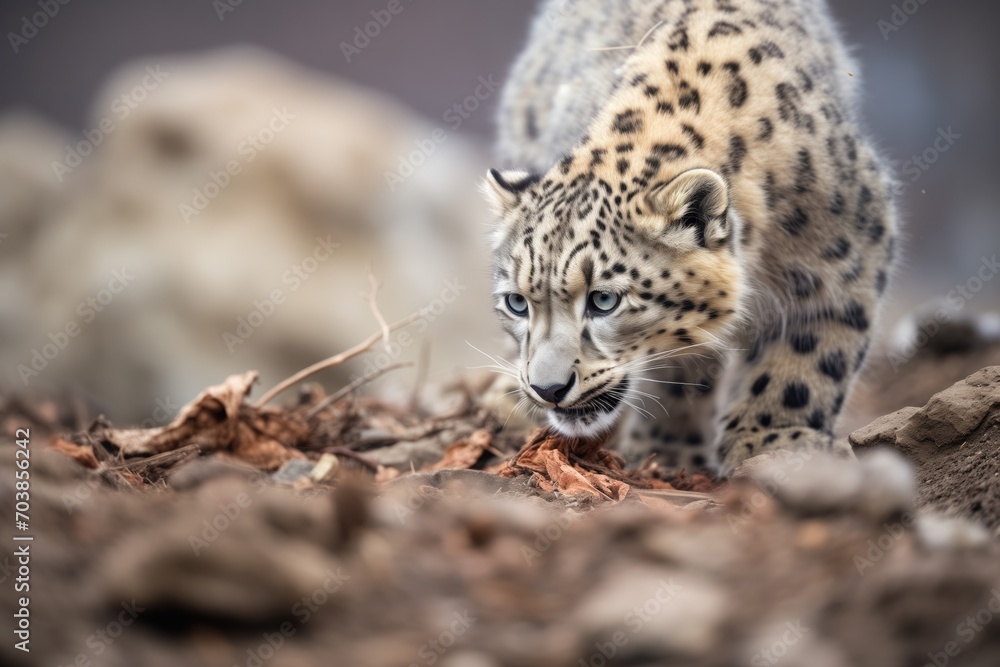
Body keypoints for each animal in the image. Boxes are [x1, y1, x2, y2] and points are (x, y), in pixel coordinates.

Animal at [482, 0, 898, 475]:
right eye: (517, 302)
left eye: (603, 300)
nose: (547, 388)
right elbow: (681, 365)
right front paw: (671, 448)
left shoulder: (848, 253)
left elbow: (812, 351)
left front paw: (775, 441)